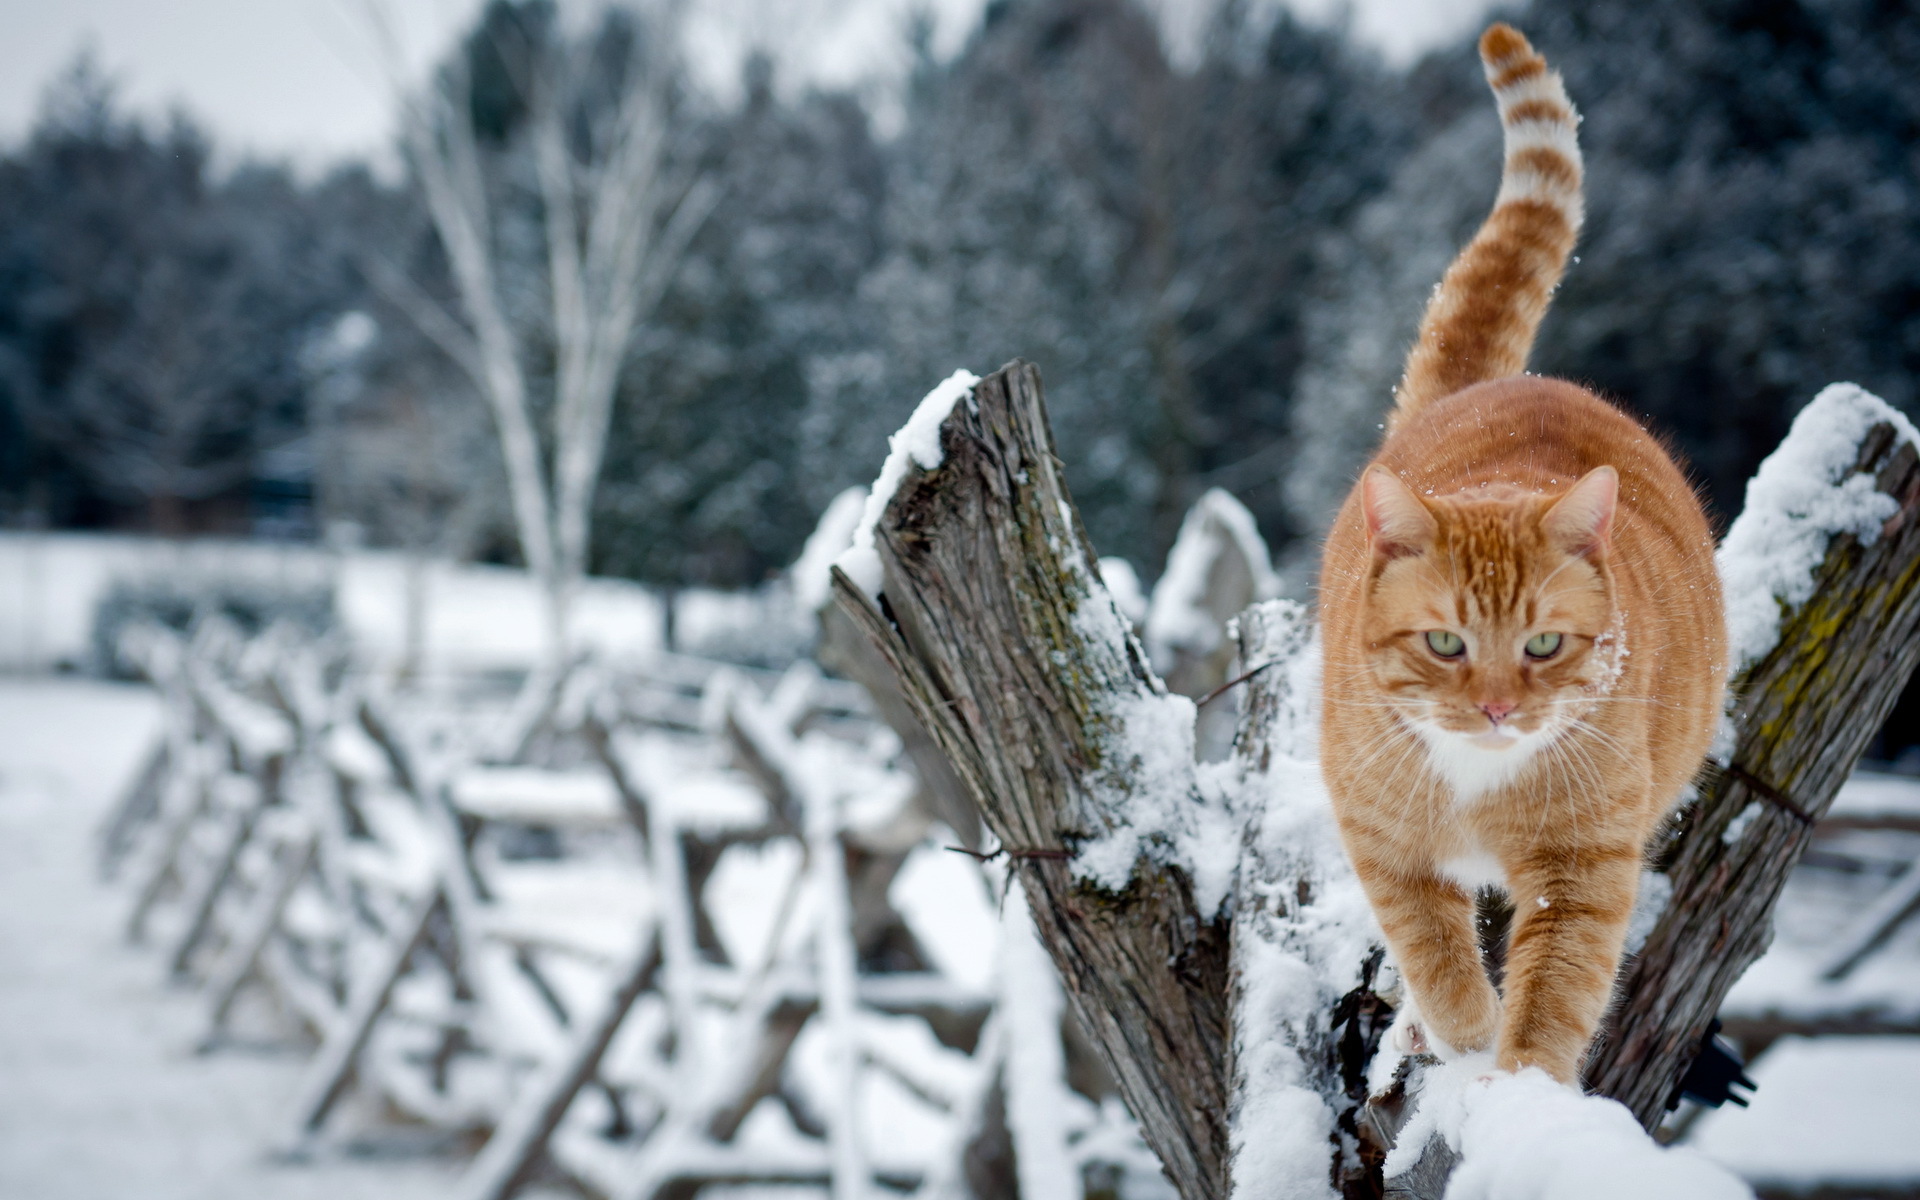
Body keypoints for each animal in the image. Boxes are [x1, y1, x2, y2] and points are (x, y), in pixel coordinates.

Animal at [1320, 23, 1728, 1082]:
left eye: (1543, 645)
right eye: (1445, 644)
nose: (1500, 709)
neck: (1475, 783)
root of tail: (1502, 385)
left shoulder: (1580, 870)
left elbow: (1553, 995)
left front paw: (1519, 1082)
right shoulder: (1386, 844)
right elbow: (1433, 949)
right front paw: (1462, 1032)